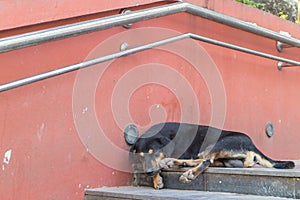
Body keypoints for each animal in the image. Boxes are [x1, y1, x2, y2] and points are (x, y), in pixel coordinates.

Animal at [129, 122, 296, 189]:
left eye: (155, 152)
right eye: (140, 156)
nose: (149, 172)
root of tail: (252, 144)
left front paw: (157, 175)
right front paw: (156, 179)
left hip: (216, 145)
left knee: (205, 160)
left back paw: (188, 172)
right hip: (228, 159)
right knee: (208, 160)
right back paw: (175, 163)